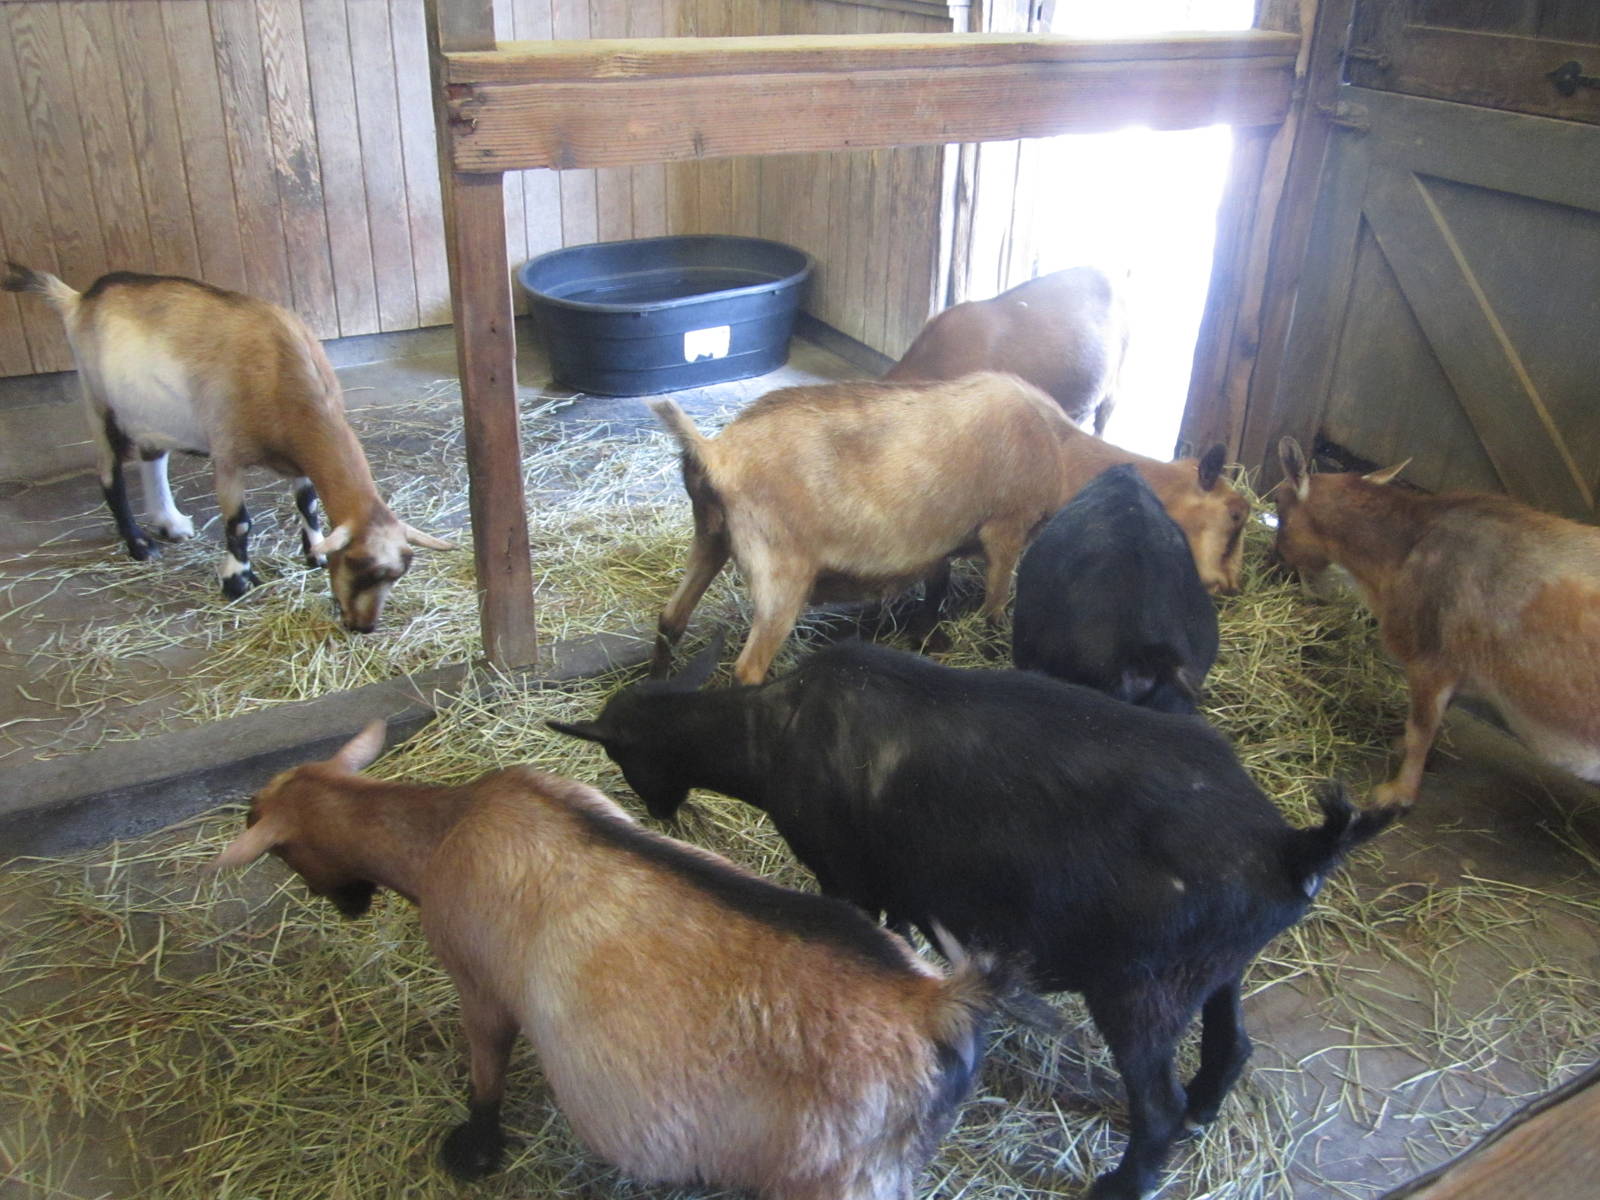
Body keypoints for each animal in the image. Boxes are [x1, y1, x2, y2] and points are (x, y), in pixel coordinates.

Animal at [2, 264, 451, 631]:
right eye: (357, 563)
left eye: (396, 575)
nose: (363, 627)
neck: (279, 373)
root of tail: (79, 299)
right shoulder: (228, 454)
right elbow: (239, 523)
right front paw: (237, 581)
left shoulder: (298, 460)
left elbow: (307, 503)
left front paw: (314, 554)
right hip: (98, 400)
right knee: (109, 473)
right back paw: (141, 546)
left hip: (151, 412)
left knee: (152, 457)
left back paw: (170, 523)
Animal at [208, 720, 1008, 1199]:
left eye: (274, 844)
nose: (348, 905)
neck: (445, 830)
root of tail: (933, 1006)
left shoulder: (479, 980)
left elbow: (486, 1068)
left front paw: (474, 1150)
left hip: (831, 1181)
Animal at [551, 640, 1401, 1199]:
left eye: (621, 756)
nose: (660, 809)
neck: (767, 731)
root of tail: (1291, 848)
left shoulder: (850, 879)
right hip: (1216, 968)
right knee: (1230, 1048)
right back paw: (1201, 1110)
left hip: (1141, 988)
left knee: (1153, 1108)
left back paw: (1122, 1182)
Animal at [651, 372, 1246, 683]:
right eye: (1237, 517)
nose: (1232, 586)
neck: (1060, 451)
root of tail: (716, 453)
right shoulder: (1006, 529)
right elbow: (997, 602)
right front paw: (989, 649)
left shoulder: (936, 544)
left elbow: (935, 589)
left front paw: (929, 636)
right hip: (781, 569)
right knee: (747, 668)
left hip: (711, 538)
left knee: (670, 619)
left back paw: (655, 683)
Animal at [1275, 436, 1600, 806]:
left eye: (1279, 507)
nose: (1277, 559)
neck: (1404, 549)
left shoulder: (1432, 661)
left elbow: (1421, 729)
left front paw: (1397, 792)